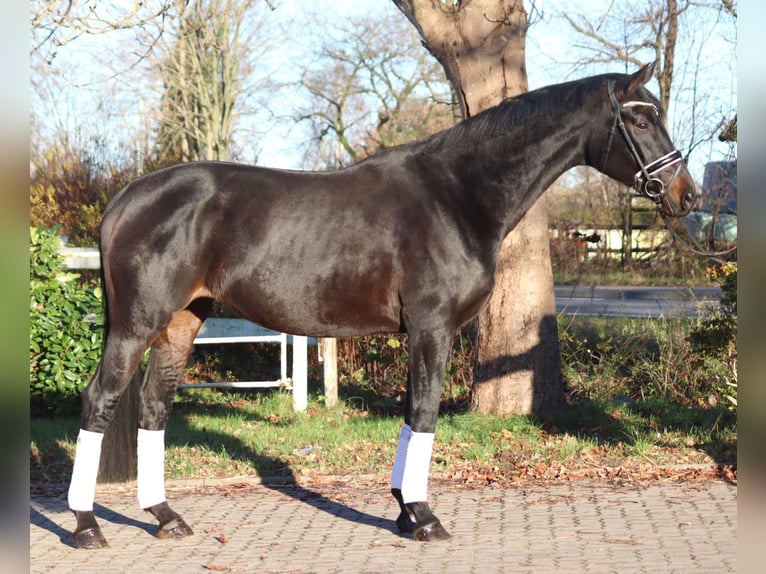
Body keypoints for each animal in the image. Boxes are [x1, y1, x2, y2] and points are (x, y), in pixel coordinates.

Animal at [69, 63, 700, 548]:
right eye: (640, 118)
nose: (686, 195)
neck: (457, 194)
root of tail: (124, 199)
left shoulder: (422, 331)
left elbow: (409, 415)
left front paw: (403, 509)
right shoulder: (432, 327)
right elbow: (424, 414)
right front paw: (423, 517)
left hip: (181, 322)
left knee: (153, 407)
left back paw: (166, 517)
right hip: (137, 325)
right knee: (100, 401)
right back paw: (86, 526)